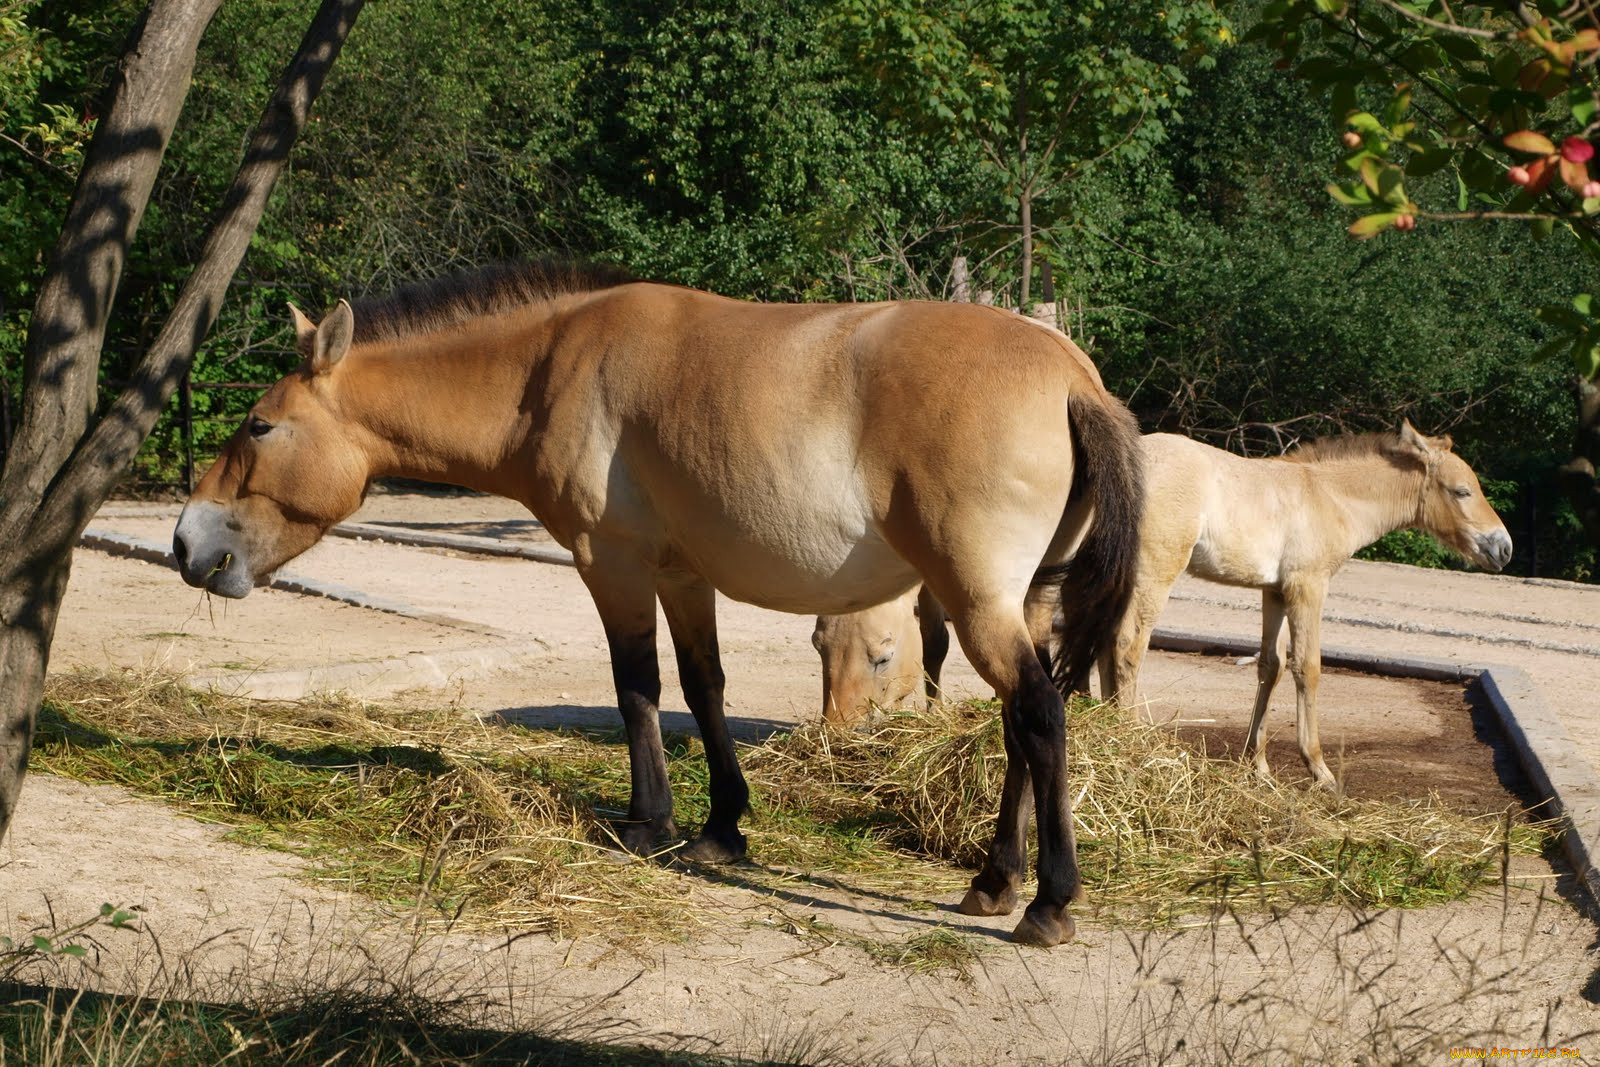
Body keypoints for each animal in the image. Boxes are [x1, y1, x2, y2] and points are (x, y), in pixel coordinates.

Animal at [172, 262, 1152, 947]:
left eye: (258, 425)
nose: (186, 542)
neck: (544, 369)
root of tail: (1073, 376)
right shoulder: (684, 575)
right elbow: (703, 686)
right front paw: (721, 827)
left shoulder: (612, 563)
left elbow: (636, 685)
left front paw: (648, 823)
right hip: (1019, 602)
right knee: (1017, 726)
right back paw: (995, 879)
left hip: (976, 597)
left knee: (1039, 715)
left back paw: (1047, 901)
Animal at [819, 428, 1504, 793]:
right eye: (1462, 490)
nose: (1504, 548)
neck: (1323, 495)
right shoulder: (1308, 586)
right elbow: (1308, 669)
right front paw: (1319, 771)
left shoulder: (1274, 590)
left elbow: (1268, 667)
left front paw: (1257, 764)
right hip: (1153, 571)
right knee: (1125, 646)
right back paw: (1130, 737)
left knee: (1091, 644)